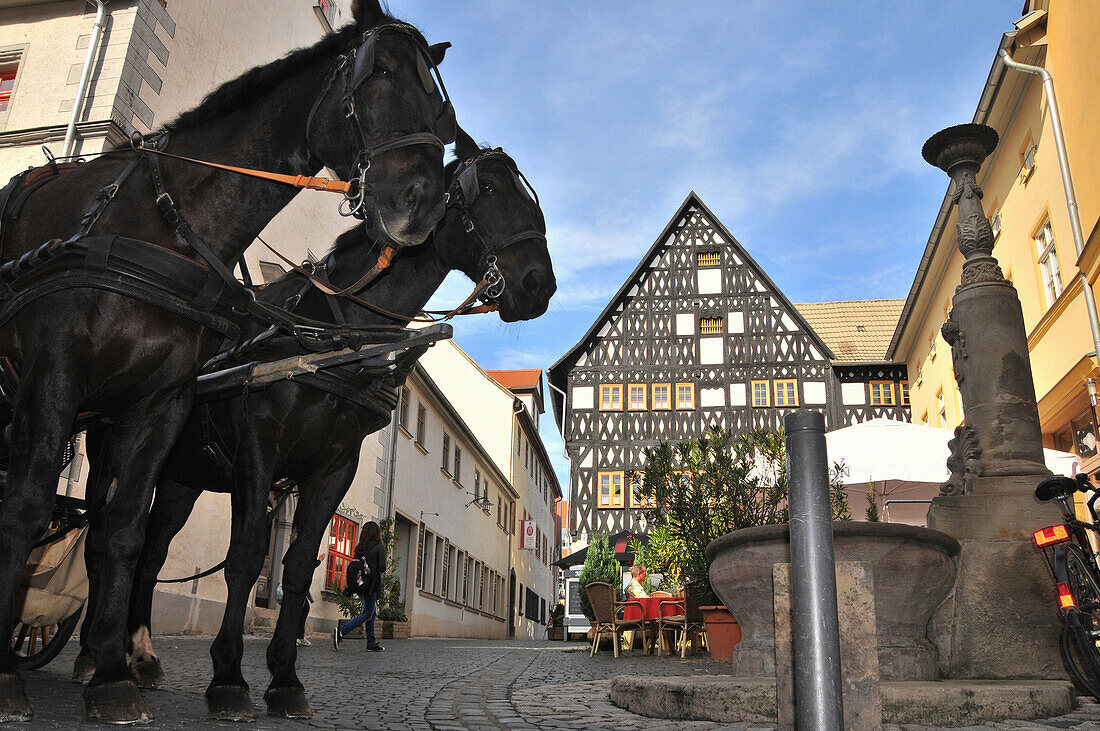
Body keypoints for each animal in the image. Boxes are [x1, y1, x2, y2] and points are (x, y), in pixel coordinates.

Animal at [0, 0, 453, 721]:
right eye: (378, 72)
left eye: (440, 109)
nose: (422, 201)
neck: (163, 225)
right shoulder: (56, 372)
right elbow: (28, 505)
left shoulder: (164, 402)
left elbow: (125, 532)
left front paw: (113, 676)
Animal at [82, 126, 554, 716]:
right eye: (487, 187)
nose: (541, 283)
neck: (330, 333)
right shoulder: (260, 445)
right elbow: (246, 556)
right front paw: (229, 677)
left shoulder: (335, 467)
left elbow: (302, 563)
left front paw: (284, 678)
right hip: (114, 449)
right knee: (103, 531)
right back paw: (93, 658)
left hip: (179, 478)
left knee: (151, 553)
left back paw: (142, 656)